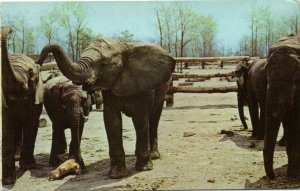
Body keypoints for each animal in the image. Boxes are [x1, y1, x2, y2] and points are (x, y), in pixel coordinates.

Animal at [1, 27, 43, 185]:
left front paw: (28, 166)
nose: (10, 29)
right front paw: (8, 182)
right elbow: (7, 126)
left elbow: (31, 124)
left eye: (30, 73)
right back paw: (16, 157)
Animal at [35, 37, 176, 179]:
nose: (38, 62)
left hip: (163, 86)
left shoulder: (139, 86)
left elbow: (140, 118)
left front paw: (144, 169)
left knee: (153, 118)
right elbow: (111, 119)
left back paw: (154, 156)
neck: (121, 46)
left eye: (102, 64)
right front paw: (117, 174)